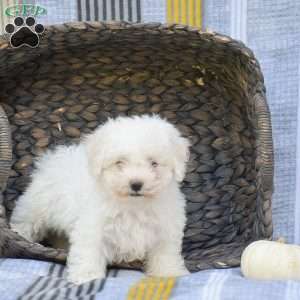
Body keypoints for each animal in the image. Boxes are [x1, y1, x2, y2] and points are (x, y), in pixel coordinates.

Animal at [11, 114, 191, 284]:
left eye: (154, 163)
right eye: (119, 163)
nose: (136, 184)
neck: (133, 205)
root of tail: (55, 158)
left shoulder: (166, 230)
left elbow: (165, 254)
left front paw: (169, 273)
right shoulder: (92, 228)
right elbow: (89, 252)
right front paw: (86, 276)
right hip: (36, 206)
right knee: (26, 221)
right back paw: (18, 235)